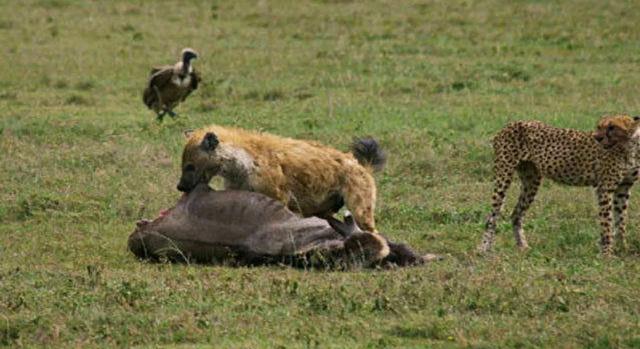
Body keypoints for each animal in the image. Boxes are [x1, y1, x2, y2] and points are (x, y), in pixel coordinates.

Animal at [480, 114, 640, 253]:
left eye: (612, 127)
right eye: (599, 126)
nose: (597, 137)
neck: (629, 147)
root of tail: (510, 124)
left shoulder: (623, 188)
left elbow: (621, 221)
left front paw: (622, 248)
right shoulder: (605, 188)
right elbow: (607, 223)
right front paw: (607, 253)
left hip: (531, 181)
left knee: (516, 214)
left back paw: (523, 247)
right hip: (504, 176)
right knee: (492, 217)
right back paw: (483, 249)